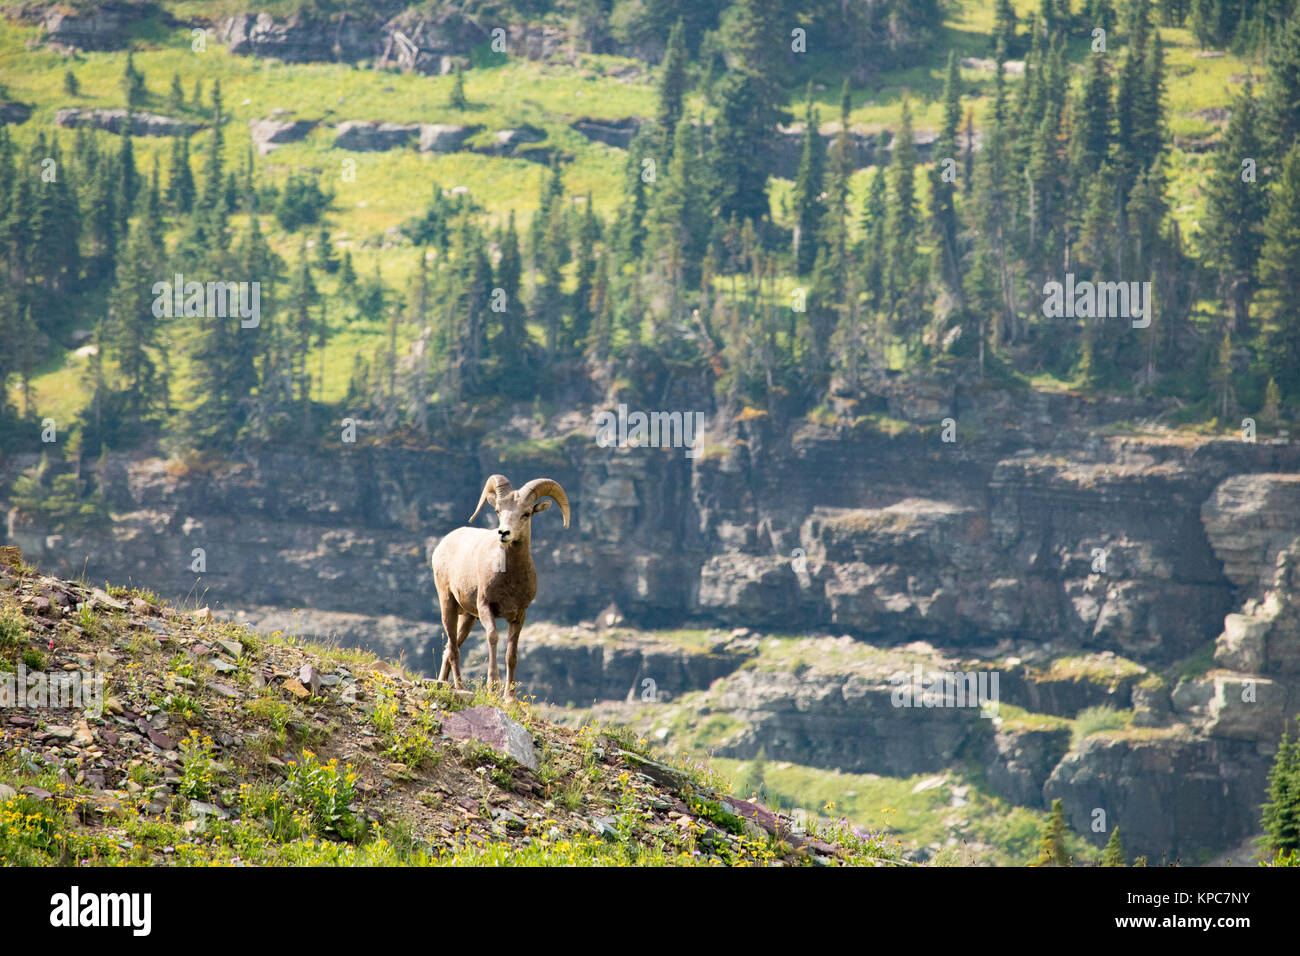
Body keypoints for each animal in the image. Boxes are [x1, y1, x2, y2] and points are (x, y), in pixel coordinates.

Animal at [431, 474, 570, 702]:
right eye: (498, 511)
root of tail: (443, 544)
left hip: (468, 617)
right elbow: (493, 637)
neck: (509, 579)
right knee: (453, 649)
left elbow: (511, 654)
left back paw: (443, 683)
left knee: (449, 648)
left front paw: (510, 697)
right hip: (448, 605)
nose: (504, 533)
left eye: (526, 513)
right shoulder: (486, 607)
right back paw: (459, 686)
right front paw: (492, 688)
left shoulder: (519, 615)